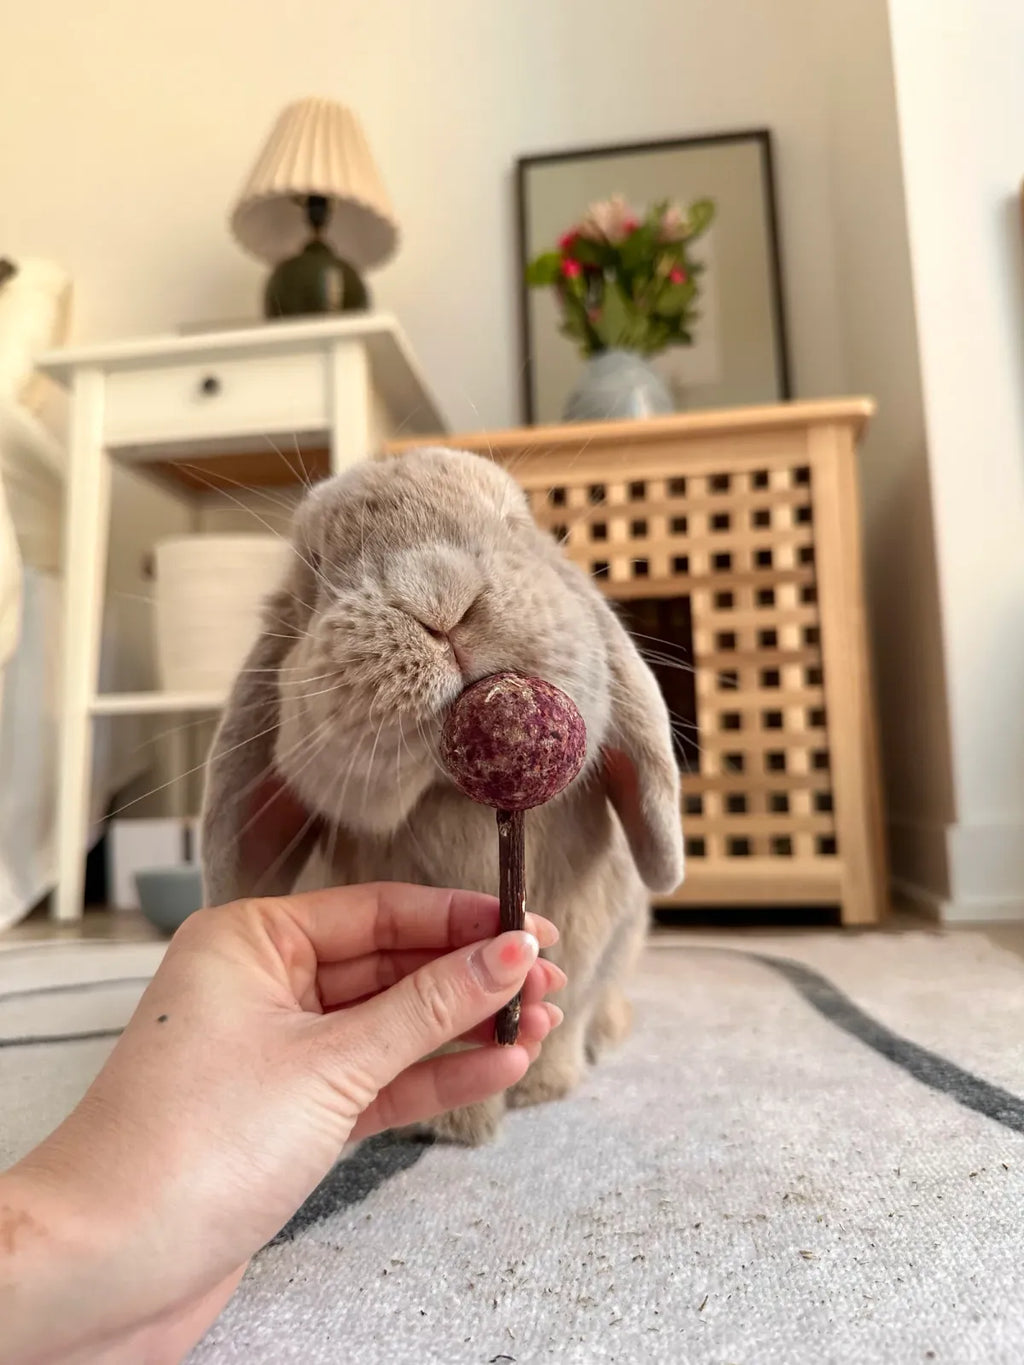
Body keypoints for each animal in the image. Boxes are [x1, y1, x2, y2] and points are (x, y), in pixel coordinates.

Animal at [201, 446, 683, 1145]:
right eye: (314, 570)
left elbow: (568, 1004)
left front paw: (543, 1089)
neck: (454, 800)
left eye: (516, 525)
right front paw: (457, 1121)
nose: (439, 599)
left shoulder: (587, 936)